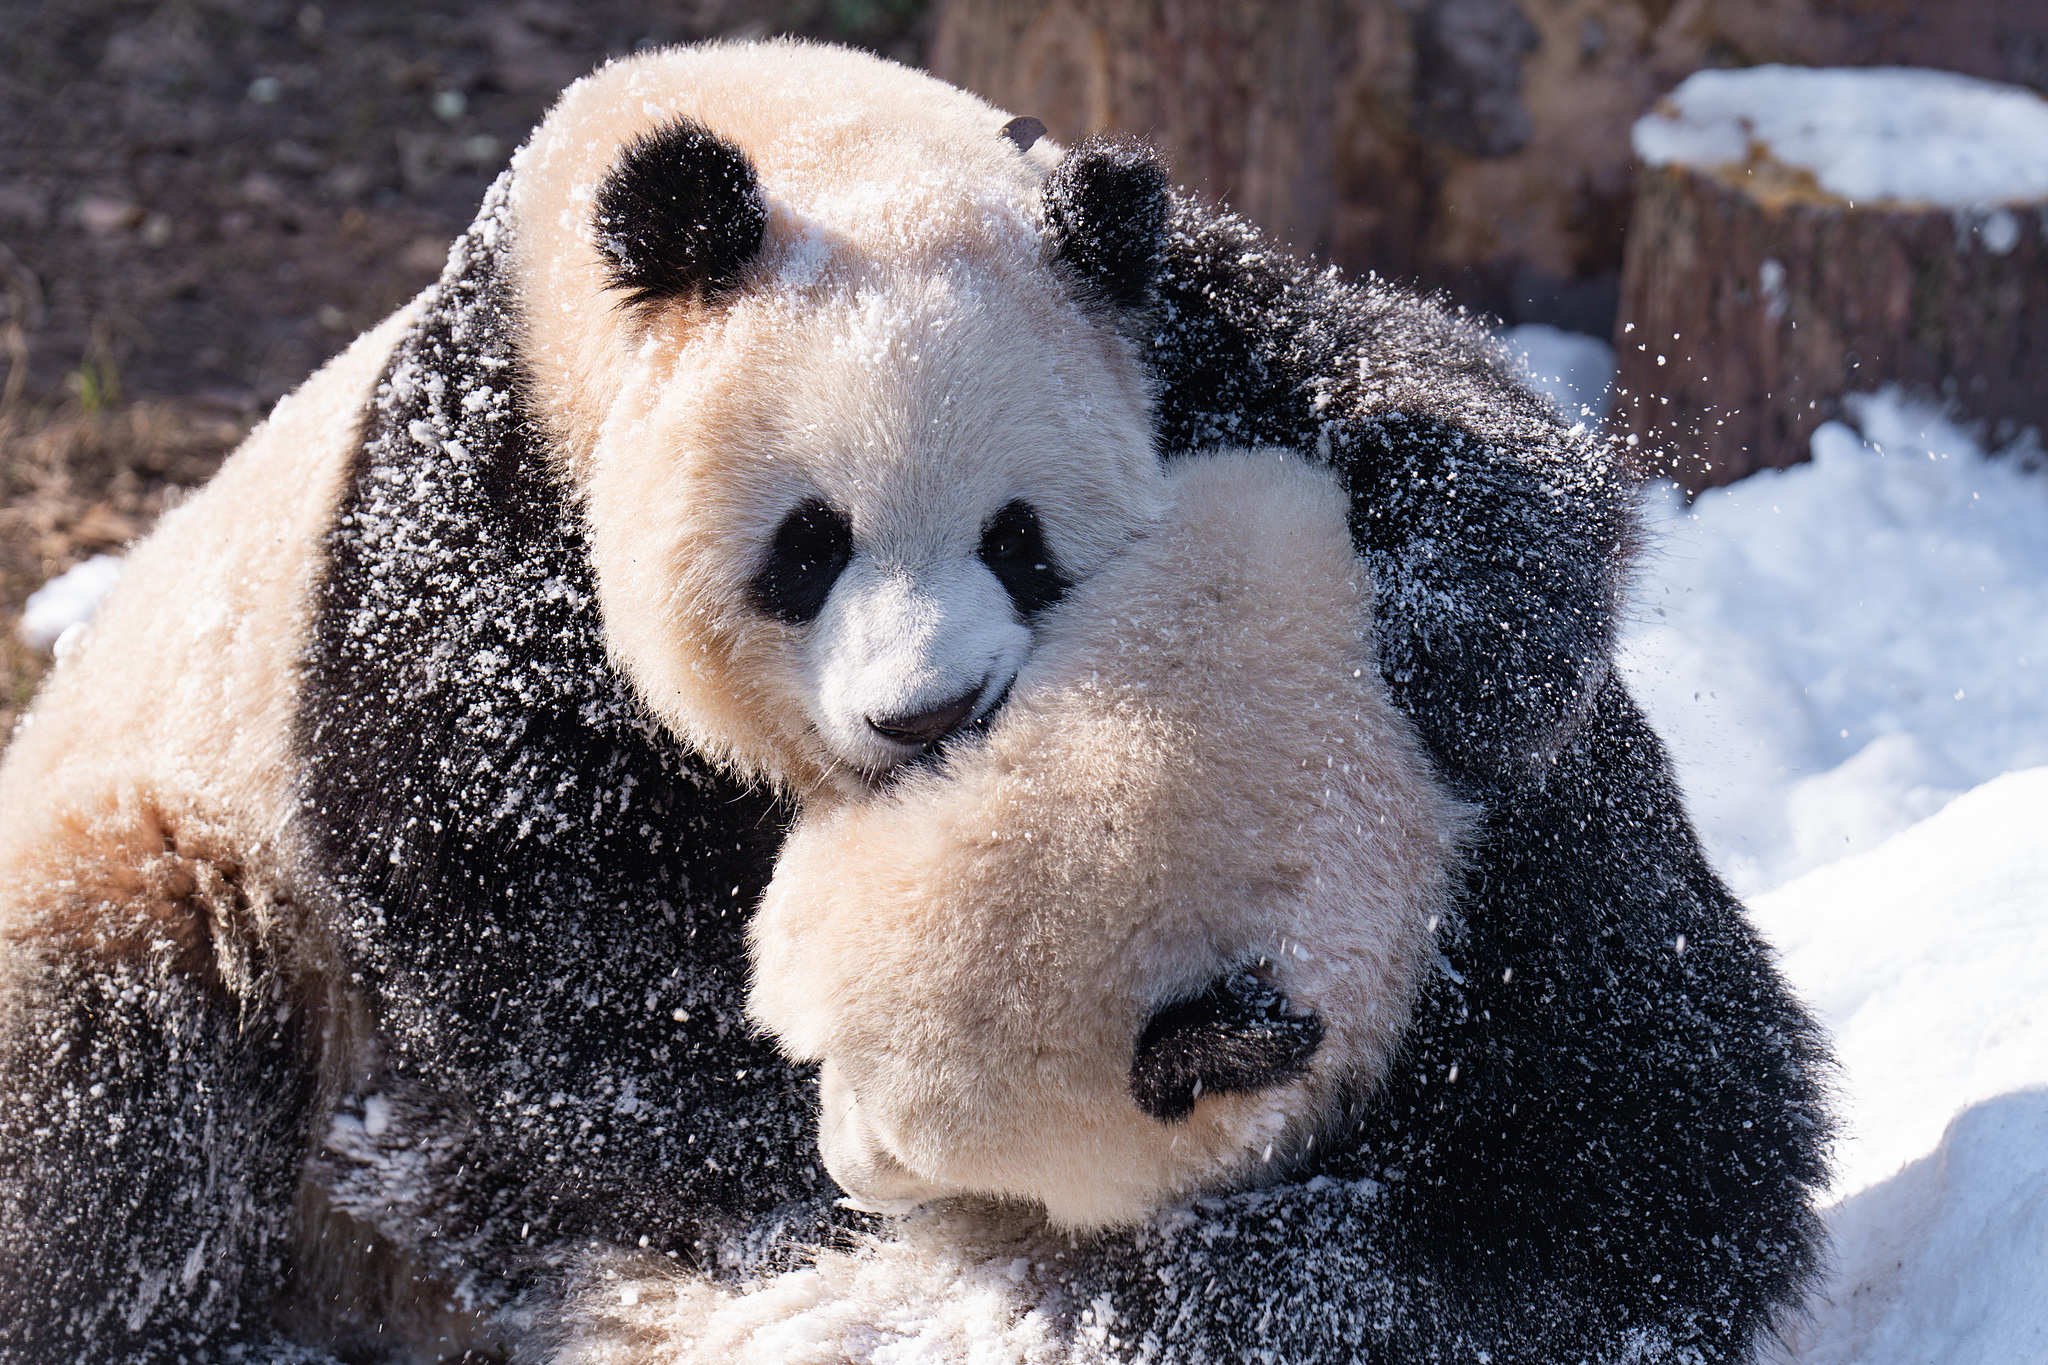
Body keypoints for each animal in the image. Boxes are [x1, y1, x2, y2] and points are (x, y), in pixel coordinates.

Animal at [0, 31, 1826, 1365]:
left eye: (1023, 538)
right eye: (804, 547)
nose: (928, 713)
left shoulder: (1179, 320)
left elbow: (1425, 405)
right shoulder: (473, 534)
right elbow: (531, 905)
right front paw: (777, 1167)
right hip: (161, 854)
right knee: (121, 1073)